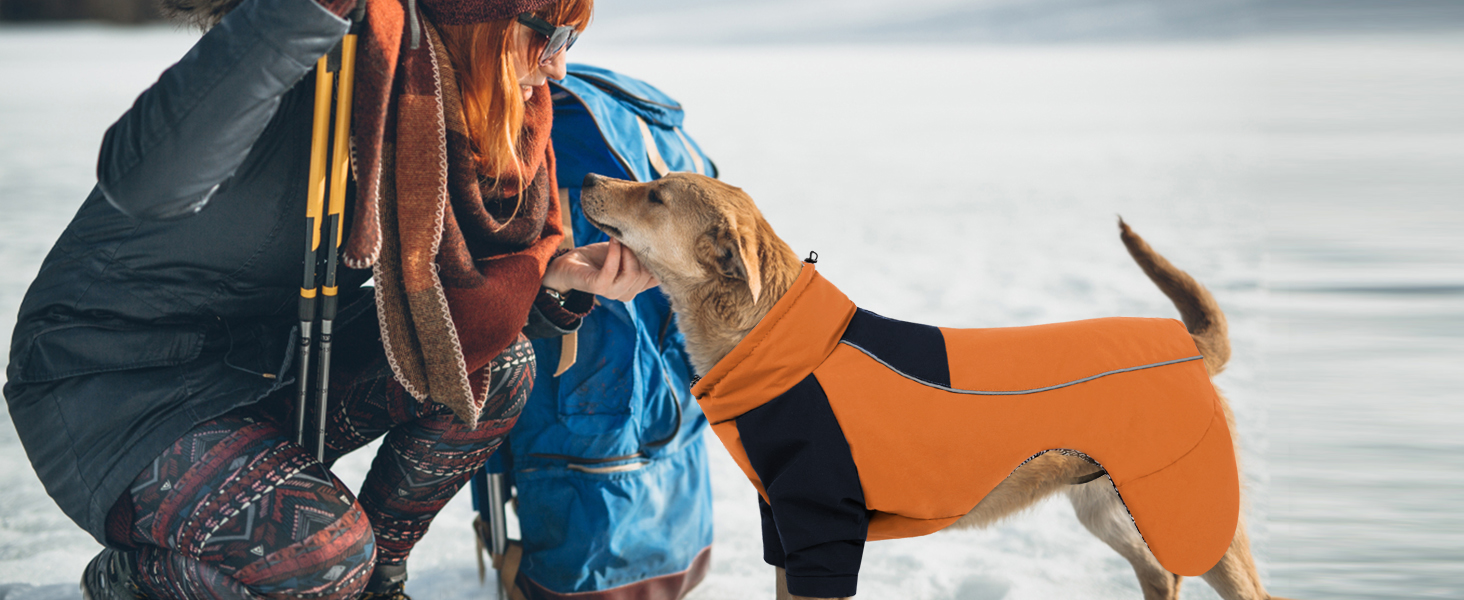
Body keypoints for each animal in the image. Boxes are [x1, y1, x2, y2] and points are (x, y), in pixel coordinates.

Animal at [576, 171, 1288, 597]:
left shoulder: (822, 533)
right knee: (1161, 574)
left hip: (1197, 514)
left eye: (656, 195)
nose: (586, 177)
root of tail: (1188, 345)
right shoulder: (784, 531)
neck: (773, 337)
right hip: (1110, 508)